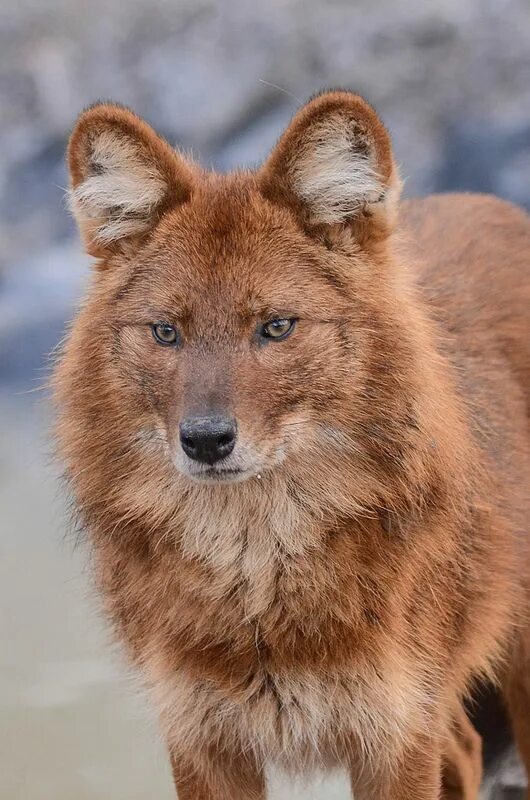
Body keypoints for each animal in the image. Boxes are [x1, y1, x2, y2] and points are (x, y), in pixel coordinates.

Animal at [54, 90, 528, 796]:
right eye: (166, 332)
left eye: (276, 327)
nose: (206, 441)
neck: (257, 580)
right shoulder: (201, 741)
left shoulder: (394, 736)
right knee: (468, 747)